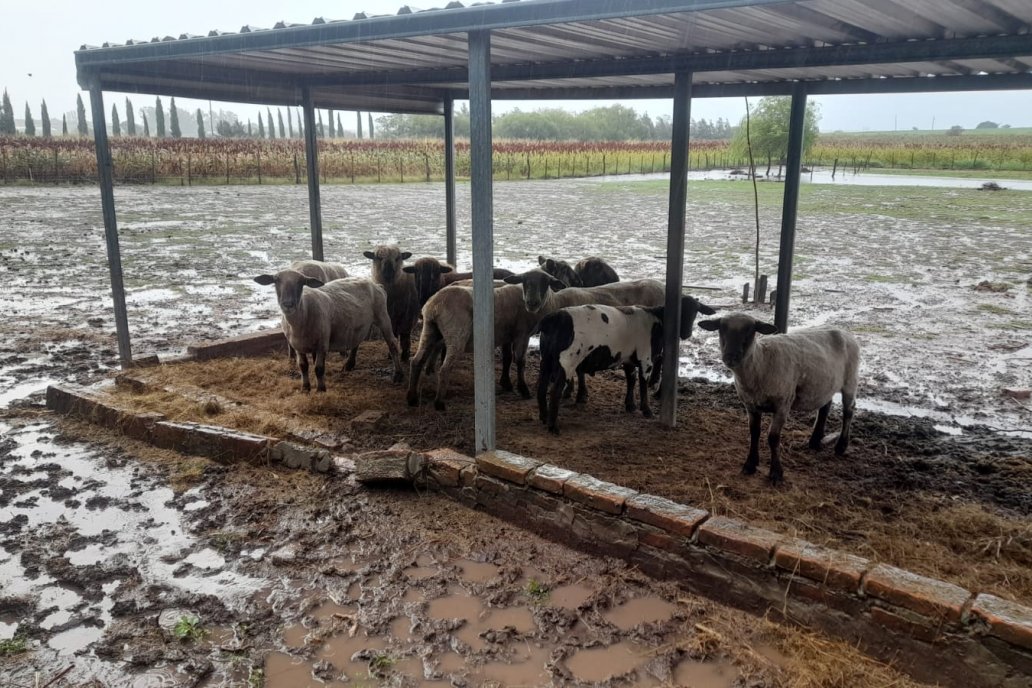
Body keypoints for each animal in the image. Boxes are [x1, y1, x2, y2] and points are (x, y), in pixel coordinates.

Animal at [251, 272, 404, 396]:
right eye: (276, 280)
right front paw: (305, 388)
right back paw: (349, 364)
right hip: (360, 323)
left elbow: (319, 368)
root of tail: (376, 284)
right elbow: (303, 366)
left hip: (382, 315)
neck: (303, 313)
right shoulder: (298, 346)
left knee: (392, 344)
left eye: (301, 282)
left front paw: (321, 390)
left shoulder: (322, 344)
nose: (288, 304)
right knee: (357, 341)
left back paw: (398, 375)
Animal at [536, 297, 714, 435]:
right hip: (567, 361)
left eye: (695, 312)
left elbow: (631, 380)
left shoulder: (628, 358)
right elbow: (643, 384)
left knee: (541, 387)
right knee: (555, 391)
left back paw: (544, 417)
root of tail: (552, 318)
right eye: (679, 311)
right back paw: (553, 426)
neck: (657, 321)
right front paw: (646, 410)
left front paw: (630, 405)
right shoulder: (646, 359)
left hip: (546, 359)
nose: (686, 333)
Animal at [693, 315, 862, 486]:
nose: (730, 357)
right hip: (825, 384)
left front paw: (776, 473)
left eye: (750, 330)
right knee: (825, 406)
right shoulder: (751, 405)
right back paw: (815, 441)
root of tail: (844, 331)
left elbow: (773, 437)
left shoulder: (783, 404)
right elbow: (754, 432)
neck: (761, 363)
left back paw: (841, 446)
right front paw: (750, 464)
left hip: (850, 380)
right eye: (721, 329)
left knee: (849, 410)